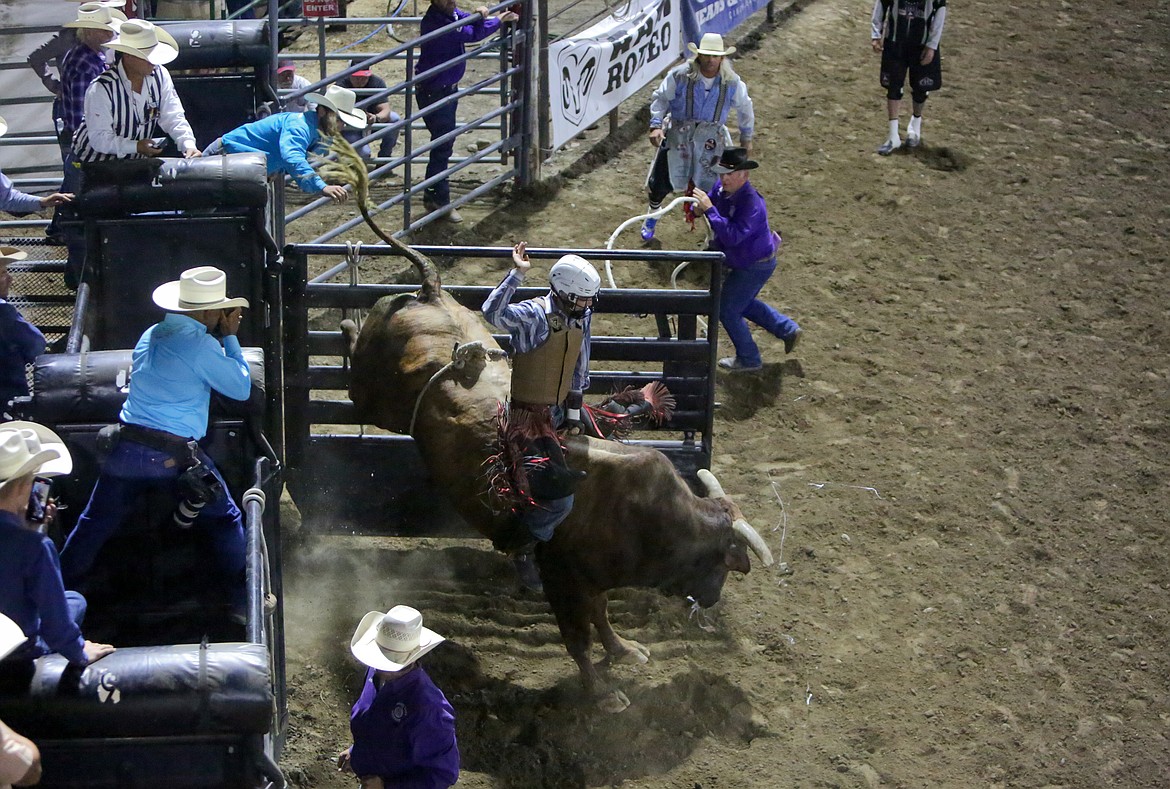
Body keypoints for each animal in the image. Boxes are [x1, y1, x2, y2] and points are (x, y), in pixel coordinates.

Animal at [322, 138, 776, 711]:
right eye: (722, 560)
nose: (713, 599)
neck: (647, 515)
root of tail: (429, 290)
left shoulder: (595, 580)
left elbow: (601, 619)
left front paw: (624, 650)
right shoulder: (564, 578)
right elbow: (578, 634)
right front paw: (603, 693)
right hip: (375, 397)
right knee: (355, 361)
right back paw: (346, 318)